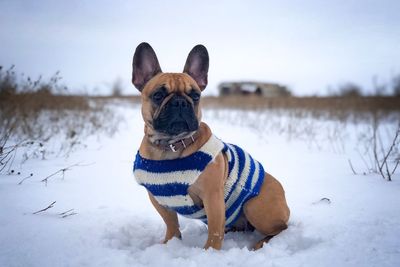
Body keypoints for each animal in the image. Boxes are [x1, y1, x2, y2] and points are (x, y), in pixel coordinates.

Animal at [133, 42, 290, 251]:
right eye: (158, 95)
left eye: (195, 95)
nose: (180, 102)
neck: (170, 145)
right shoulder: (159, 199)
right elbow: (171, 223)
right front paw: (170, 243)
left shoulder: (213, 198)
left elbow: (215, 232)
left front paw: (210, 253)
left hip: (255, 206)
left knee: (281, 228)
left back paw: (261, 243)